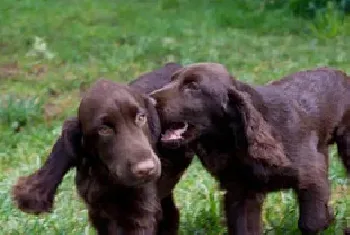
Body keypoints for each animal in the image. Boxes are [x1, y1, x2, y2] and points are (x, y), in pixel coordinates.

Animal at [13, 63, 194, 234]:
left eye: (141, 117)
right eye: (104, 129)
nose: (146, 169)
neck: (106, 174)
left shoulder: (139, 212)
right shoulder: (99, 211)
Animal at [151, 63, 350, 235]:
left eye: (192, 86)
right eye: (171, 80)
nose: (150, 100)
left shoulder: (311, 177)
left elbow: (311, 223)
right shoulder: (242, 193)